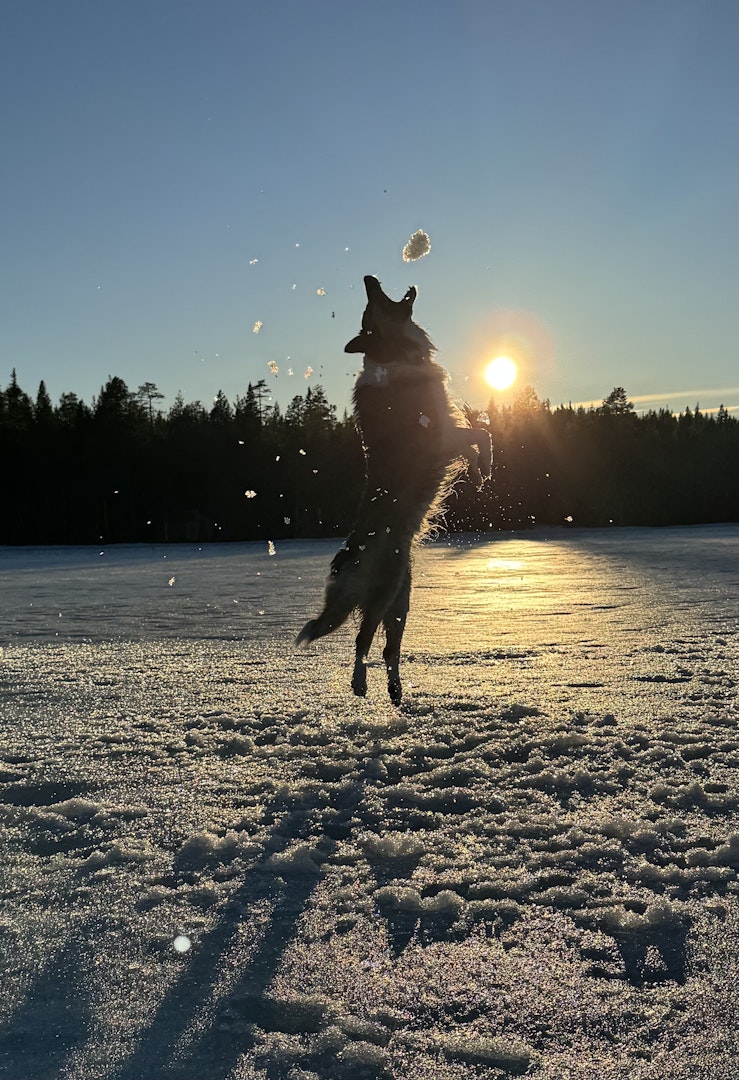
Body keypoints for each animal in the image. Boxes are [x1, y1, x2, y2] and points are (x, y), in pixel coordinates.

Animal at [296, 275, 492, 704]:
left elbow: (476, 437)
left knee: (389, 649)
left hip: (402, 600)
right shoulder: (439, 435)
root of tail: (345, 561)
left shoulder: (447, 433)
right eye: (371, 308)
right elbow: (480, 435)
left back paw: (396, 690)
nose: (369, 278)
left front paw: (479, 472)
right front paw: (485, 468)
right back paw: (359, 684)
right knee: (362, 642)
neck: (394, 356)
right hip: (383, 593)